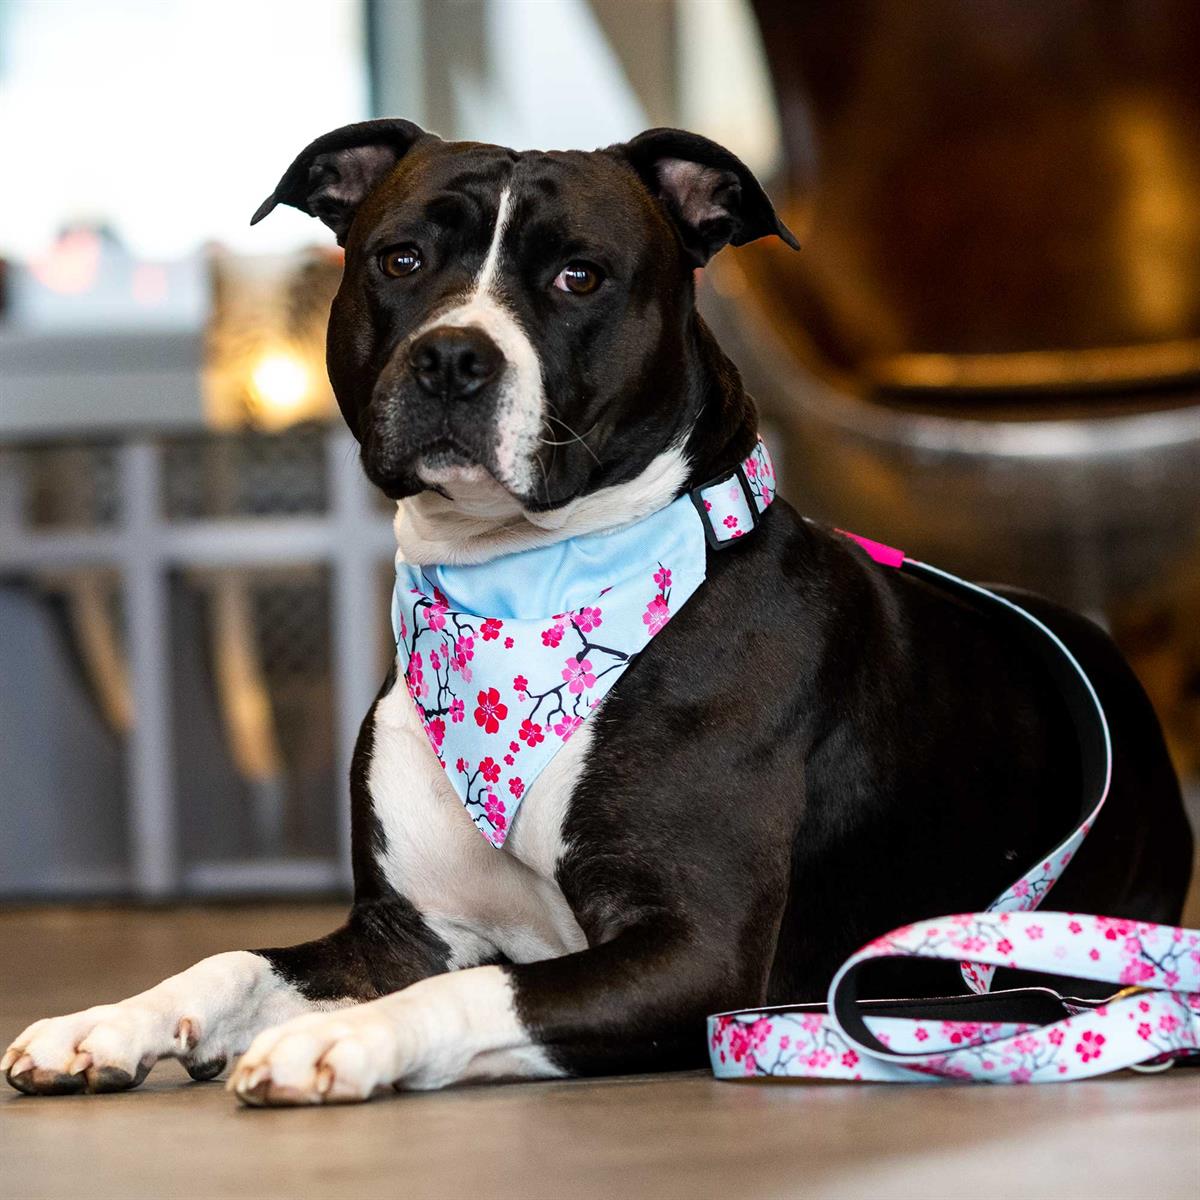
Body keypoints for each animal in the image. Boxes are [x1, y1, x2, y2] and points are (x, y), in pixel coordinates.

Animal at [4, 121, 1190, 1104]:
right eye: (400, 259)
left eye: (579, 276)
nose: (452, 357)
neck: (521, 590)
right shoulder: (399, 932)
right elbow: (237, 959)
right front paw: (108, 1023)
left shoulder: (695, 952)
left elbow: (481, 991)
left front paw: (341, 1041)